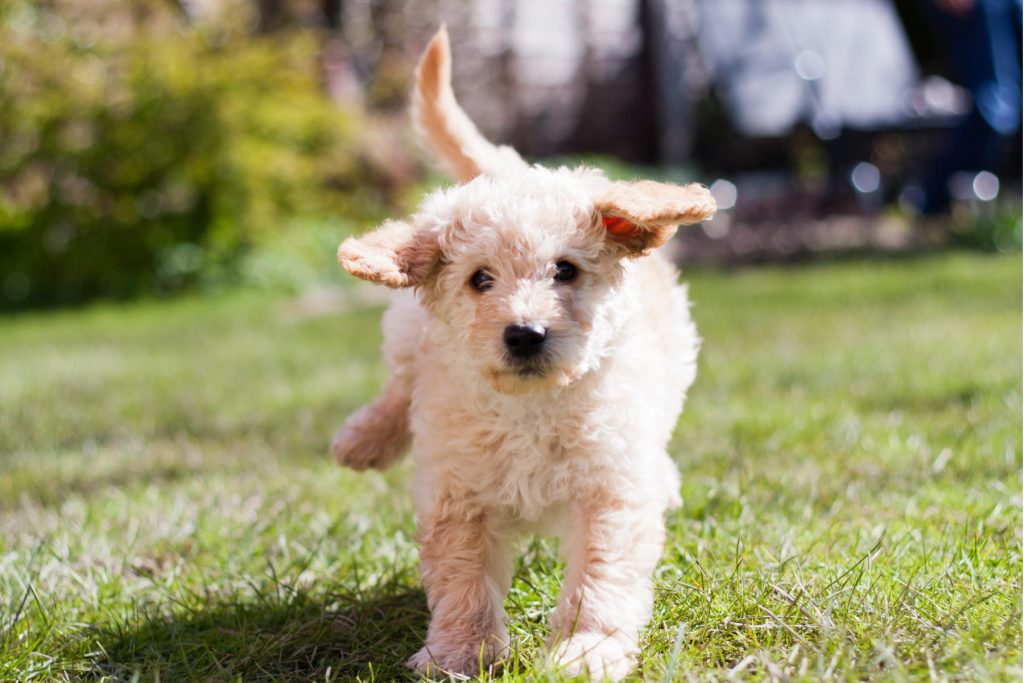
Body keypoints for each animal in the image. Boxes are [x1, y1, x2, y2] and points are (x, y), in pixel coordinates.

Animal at [331, 25, 716, 679]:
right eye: (480, 280)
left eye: (565, 270)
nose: (525, 334)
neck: (531, 408)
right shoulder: (458, 493)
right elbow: (461, 577)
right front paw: (458, 653)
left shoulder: (609, 492)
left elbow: (600, 576)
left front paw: (586, 650)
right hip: (409, 336)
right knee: (398, 388)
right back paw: (362, 440)